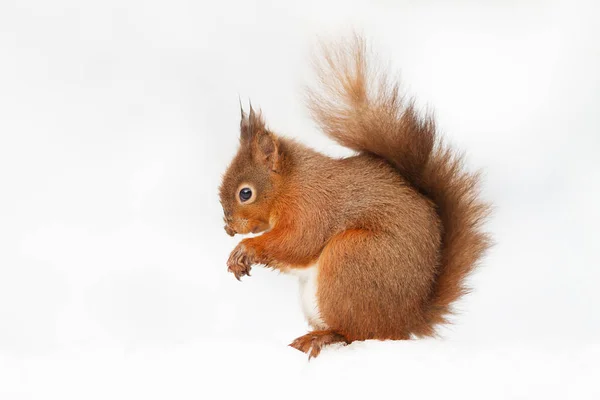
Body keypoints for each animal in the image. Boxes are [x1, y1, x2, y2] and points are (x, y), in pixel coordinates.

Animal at [218, 36, 490, 358]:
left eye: (245, 193)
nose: (228, 227)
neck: (292, 183)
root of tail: (408, 320)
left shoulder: (313, 206)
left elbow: (299, 241)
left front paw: (246, 248)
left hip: (350, 257)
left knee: (359, 333)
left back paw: (322, 338)